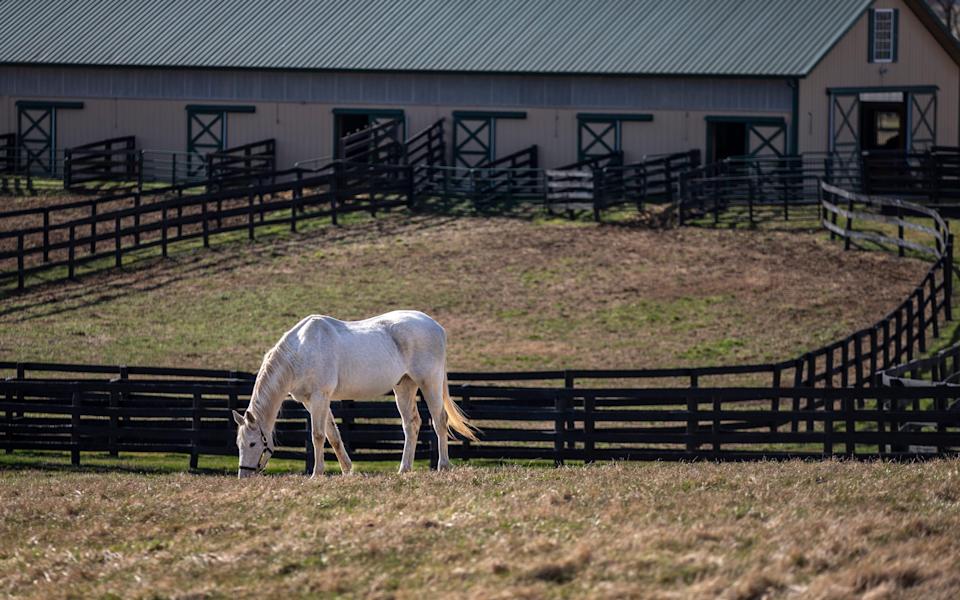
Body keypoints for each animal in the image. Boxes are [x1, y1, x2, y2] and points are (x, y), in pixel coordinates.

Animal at [230, 310, 476, 478]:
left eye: (252, 444)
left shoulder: (320, 397)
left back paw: (443, 466)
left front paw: (317, 474)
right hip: (404, 387)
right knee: (412, 424)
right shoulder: (312, 401)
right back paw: (404, 469)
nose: (244, 475)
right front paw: (347, 470)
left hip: (429, 382)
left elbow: (318, 435)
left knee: (440, 420)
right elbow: (333, 435)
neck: (300, 351)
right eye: (238, 444)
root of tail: (436, 326)